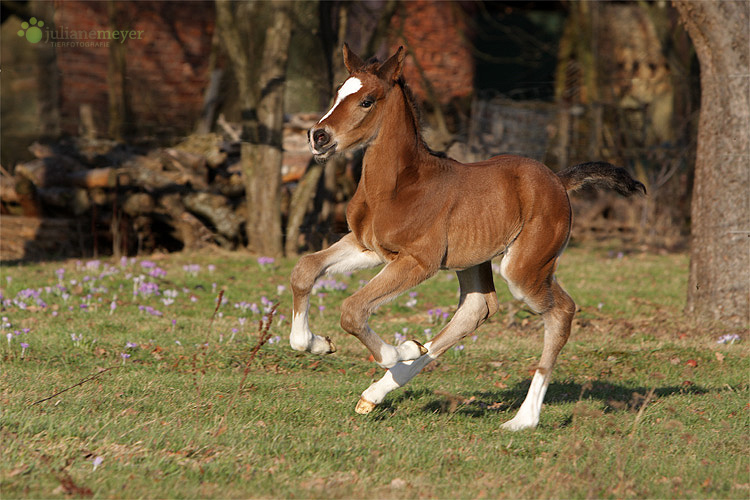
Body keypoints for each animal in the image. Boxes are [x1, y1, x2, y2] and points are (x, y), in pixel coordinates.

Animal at [290, 44, 648, 430]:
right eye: (338, 92)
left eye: (367, 101)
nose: (318, 136)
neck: (398, 187)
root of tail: (557, 179)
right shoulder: (367, 246)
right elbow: (304, 269)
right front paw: (316, 343)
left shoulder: (420, 262)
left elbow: (353, 310)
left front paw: (402, 348)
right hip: (474, 260)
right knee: (476, 310)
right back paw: (376, 393)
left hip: (524, 269)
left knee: (561, 312)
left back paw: (523, 419)